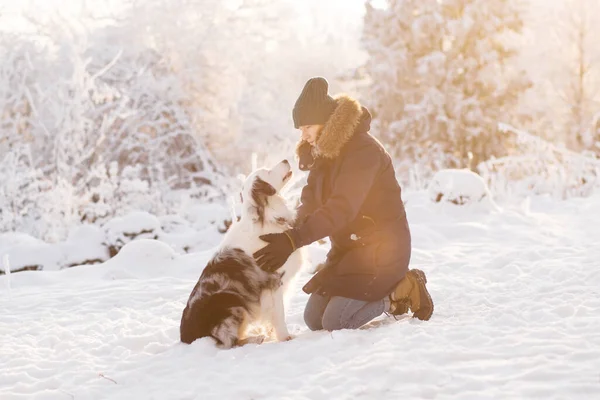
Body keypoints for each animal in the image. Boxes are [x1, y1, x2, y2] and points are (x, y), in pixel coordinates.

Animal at [178, 159, 304, 346]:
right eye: (267, 171)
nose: (286, 160)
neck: (265, 216)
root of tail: (186, 336)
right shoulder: (273, 280)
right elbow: (279, 313)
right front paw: (285, 337)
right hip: (235, 305)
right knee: (231, 342)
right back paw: (255, 338)